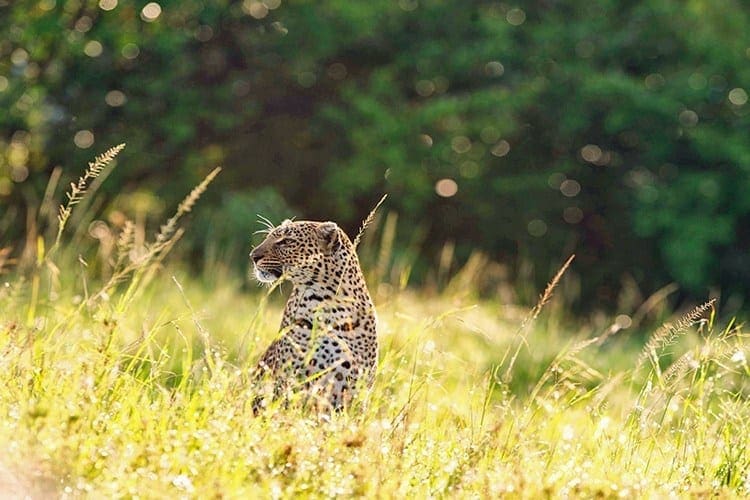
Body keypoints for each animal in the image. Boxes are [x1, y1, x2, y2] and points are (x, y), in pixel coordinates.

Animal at [249, 219, 378, 412]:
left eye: (286, 241)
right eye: (268, 237)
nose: (253, 256)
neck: (328, 305)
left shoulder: (353, 389)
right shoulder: (289, 380)